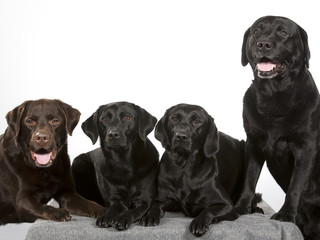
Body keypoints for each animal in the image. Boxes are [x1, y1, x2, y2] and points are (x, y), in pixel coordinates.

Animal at [71, 101, 159, 231]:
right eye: (104, 119)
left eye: (127, 117)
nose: (113, 134)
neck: (124, 164)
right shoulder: (115, 199)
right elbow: (113, 209)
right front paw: (106, 217)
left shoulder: (144, 201)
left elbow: (132, 212)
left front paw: (122, 219)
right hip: (78, 161)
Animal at [140, 104, 245, 237]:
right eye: (174, 118)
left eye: (197, 121)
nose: (181, 136)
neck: (184, 169)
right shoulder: (162, 198)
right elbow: (155, 205)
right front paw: (149, 216)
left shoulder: (227, 205)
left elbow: (209, 210)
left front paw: (199, 223)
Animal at [234, 15, 320, 239]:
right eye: (256, 31)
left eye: (283, 33)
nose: (263, 44)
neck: (275, 96)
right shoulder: (254, 144)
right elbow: (249, 179)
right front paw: (241, 207)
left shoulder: (306, 148)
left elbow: (295, 185)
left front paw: (286, 214)